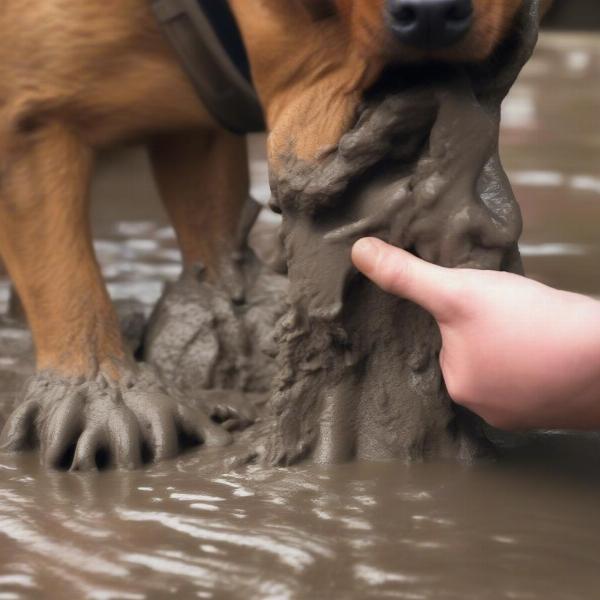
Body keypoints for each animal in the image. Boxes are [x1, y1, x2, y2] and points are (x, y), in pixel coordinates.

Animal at [0, 0, 552, 468]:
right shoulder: (29, 112)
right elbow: (61, 264)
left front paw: (233, 314)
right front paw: (106, 400)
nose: (432, 11)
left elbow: (209, 203)